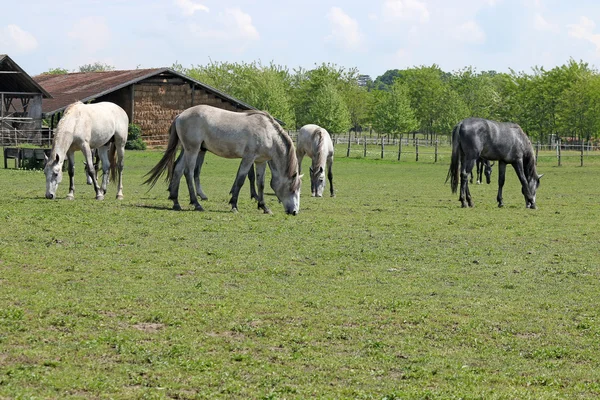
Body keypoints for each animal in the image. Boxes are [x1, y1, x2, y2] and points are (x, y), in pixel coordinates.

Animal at [145, 104, 302, 214]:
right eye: (292, 188)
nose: (294, 212)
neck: (267, 133)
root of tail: (180, 115)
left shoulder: (260, 161)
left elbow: (260, 183)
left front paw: (264, 207)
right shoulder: (248, 158)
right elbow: (241, 180)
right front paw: (234, 205)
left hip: (186, 149)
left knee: (177, 170)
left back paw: (176, 203)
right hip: (193, 149)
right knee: (188, 172)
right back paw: (197, 204)